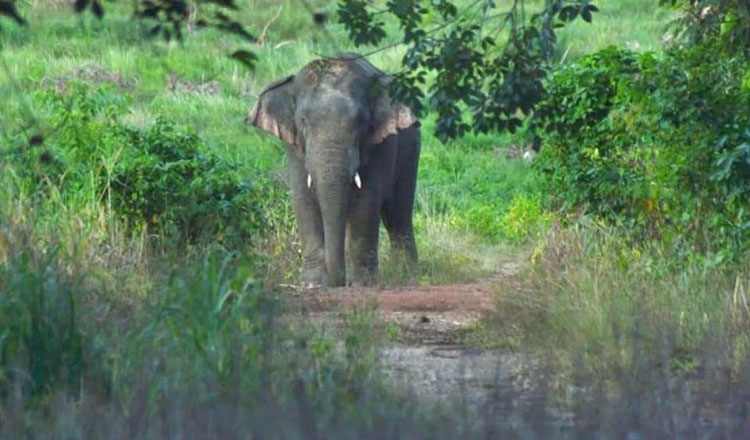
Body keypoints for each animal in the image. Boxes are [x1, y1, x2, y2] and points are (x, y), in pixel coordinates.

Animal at [248, 53, 420, 288]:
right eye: (303, 120)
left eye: (360, 121)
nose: (339, 282)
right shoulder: (295, 146)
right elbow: (303, 198)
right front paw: (314, 283)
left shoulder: (381, 144)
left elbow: (367, 201)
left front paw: (362, 284)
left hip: (411, 149)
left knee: (398, 214)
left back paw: (407, 274)